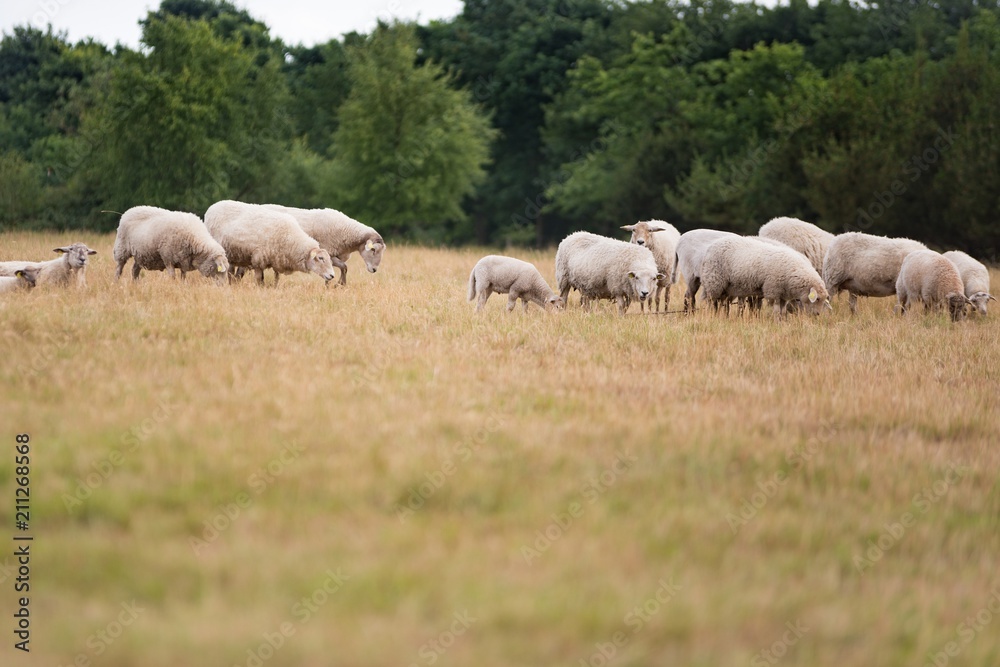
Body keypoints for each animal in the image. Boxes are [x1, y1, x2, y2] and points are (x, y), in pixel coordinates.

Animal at [204, 200, 340, 286]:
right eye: (320, 258)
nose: (332, 275)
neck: (291, 238)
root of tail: (212, 207)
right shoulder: (258, 260)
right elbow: (260, 279)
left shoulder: (276, 260)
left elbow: (276, 278)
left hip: (232, 254)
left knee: (231, 272)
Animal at [700, 235, 832, 320]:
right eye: (817, 299)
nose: (817, 314)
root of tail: (710, 247)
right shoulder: (772, 290)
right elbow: (776, 310)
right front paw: (776, 322)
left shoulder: (782, 295)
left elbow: (782, 311)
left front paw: (781, 322)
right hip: (714, 282)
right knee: (711, 302)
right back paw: (710, 316)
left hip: (726, 288)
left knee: (719, 303)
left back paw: (719, 316)